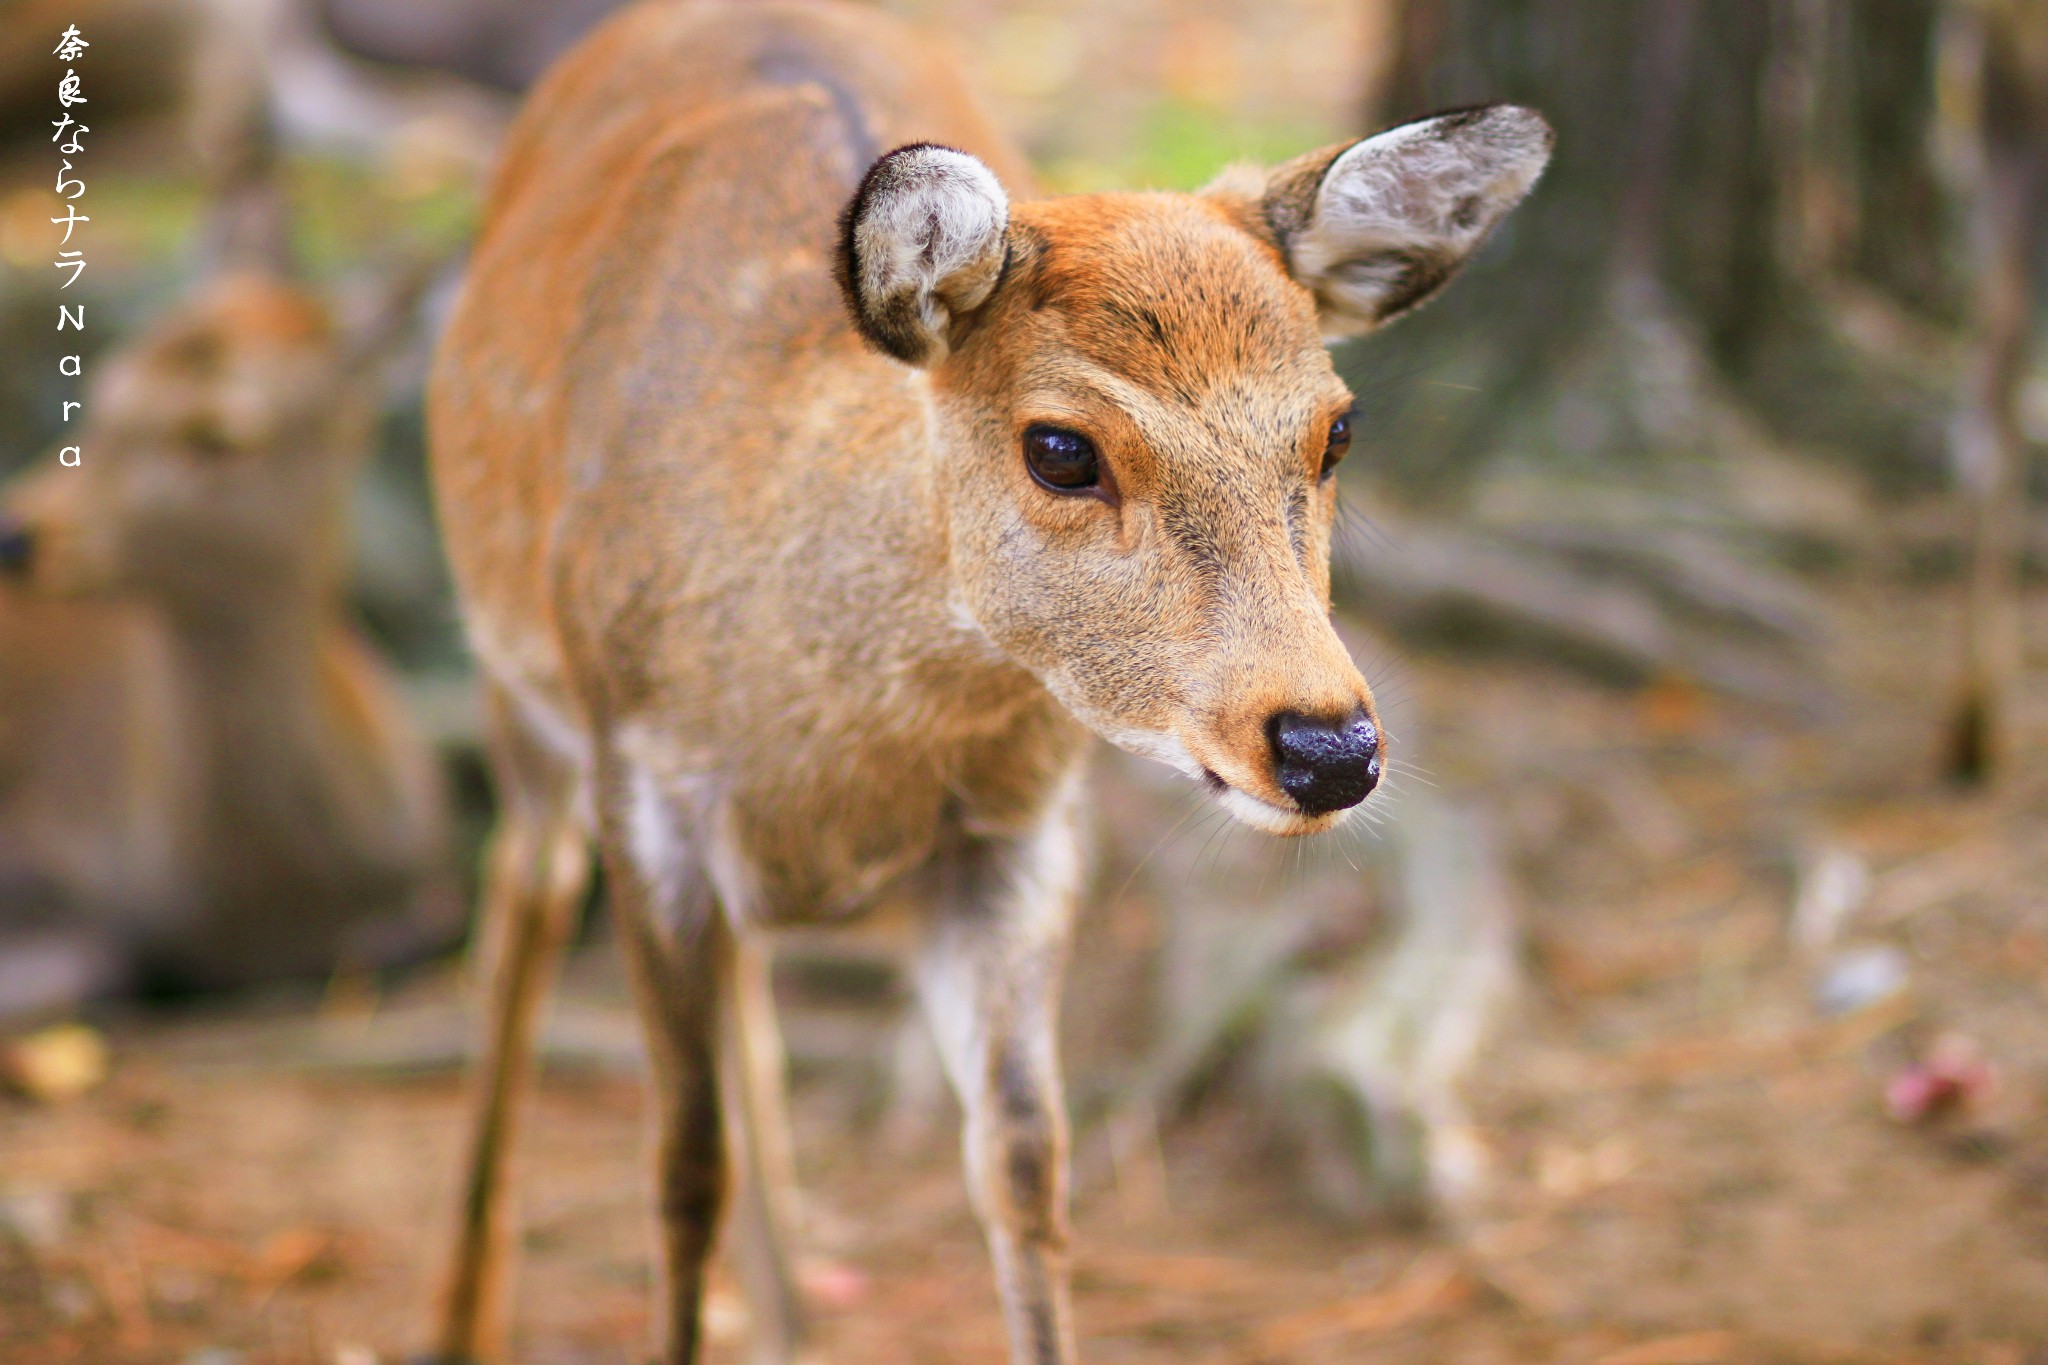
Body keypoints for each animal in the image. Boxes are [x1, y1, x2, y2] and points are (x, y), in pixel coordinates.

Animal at [423, 2, 1548, 1365]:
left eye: (1336, 428)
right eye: (1060, 447)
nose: (1327, 747)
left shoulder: (1018, 837)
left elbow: (1023, 1165)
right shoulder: (642, 789)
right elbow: (680, 1168)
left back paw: (792, 1315)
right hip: (520, 688)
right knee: (521, 906)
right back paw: (461, 1318)